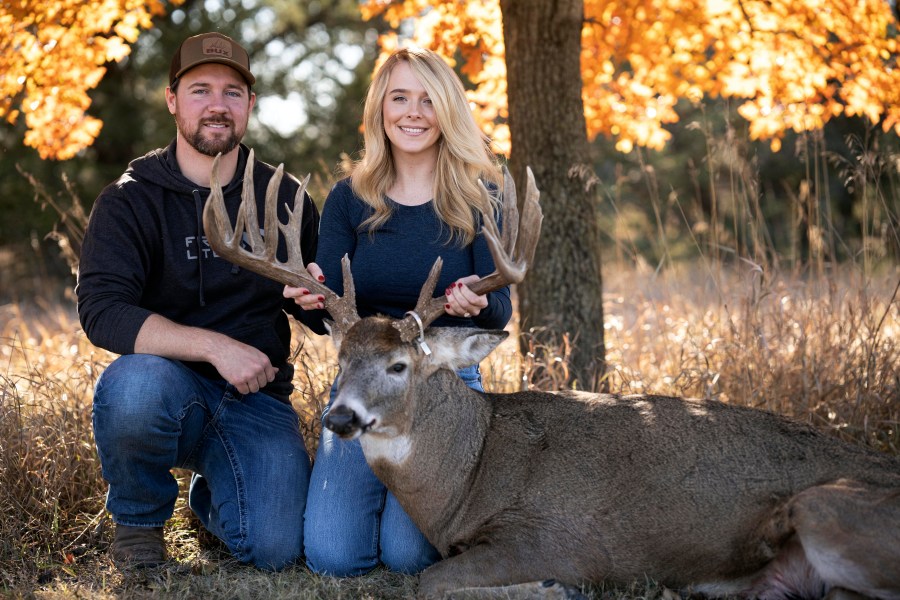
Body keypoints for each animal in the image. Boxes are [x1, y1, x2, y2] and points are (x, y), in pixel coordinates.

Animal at [204, 152, 900, 596]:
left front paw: (546, 589)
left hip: (825, 505)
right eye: (342, 360)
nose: (340, 416)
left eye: (399, 364)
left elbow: (429, 579)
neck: (468, 473)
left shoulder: (552, 536)